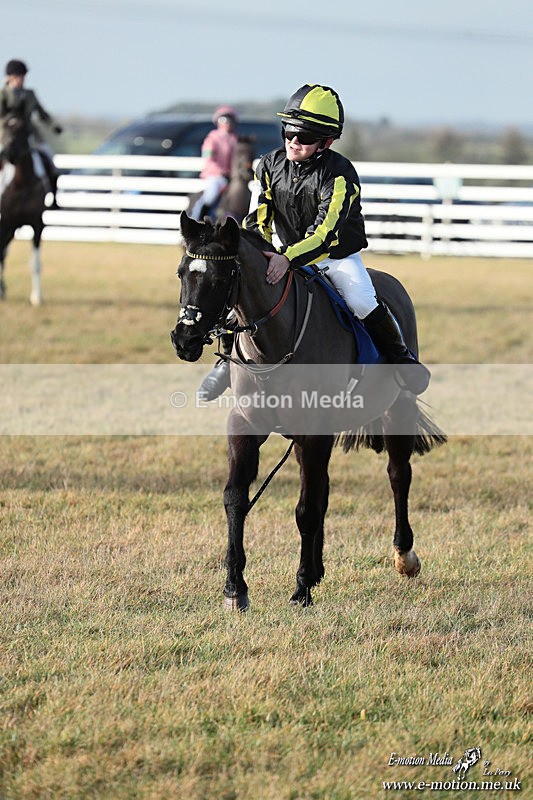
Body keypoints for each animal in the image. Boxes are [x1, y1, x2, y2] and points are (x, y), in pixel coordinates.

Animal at [170, 211, 446, 610]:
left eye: (220, 278)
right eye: (181, 273)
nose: (184, 339)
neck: (274, 345)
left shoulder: (314, 431)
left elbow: (306, 509)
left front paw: (300, 589)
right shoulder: (246, 426)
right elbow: (236, 498)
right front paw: (235, 588)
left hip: (398, 410)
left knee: (398, 475)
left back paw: (404, 555)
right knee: (326, 489)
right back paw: (318, 570)